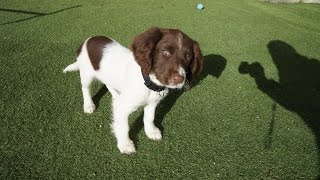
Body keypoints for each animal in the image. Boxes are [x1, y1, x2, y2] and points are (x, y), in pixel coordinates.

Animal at [63, 27, 204, 154]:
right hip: (86, 73)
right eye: (165, 52)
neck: (149, 82)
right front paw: (125, 145)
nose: (179, 79)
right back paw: (88, 105)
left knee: (108, 84)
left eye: (188, 57)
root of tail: (87, 40)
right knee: (85, 88)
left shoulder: (152, 103)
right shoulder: (122, 107)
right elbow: (123, 126)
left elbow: (149, 117)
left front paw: (151, 131)